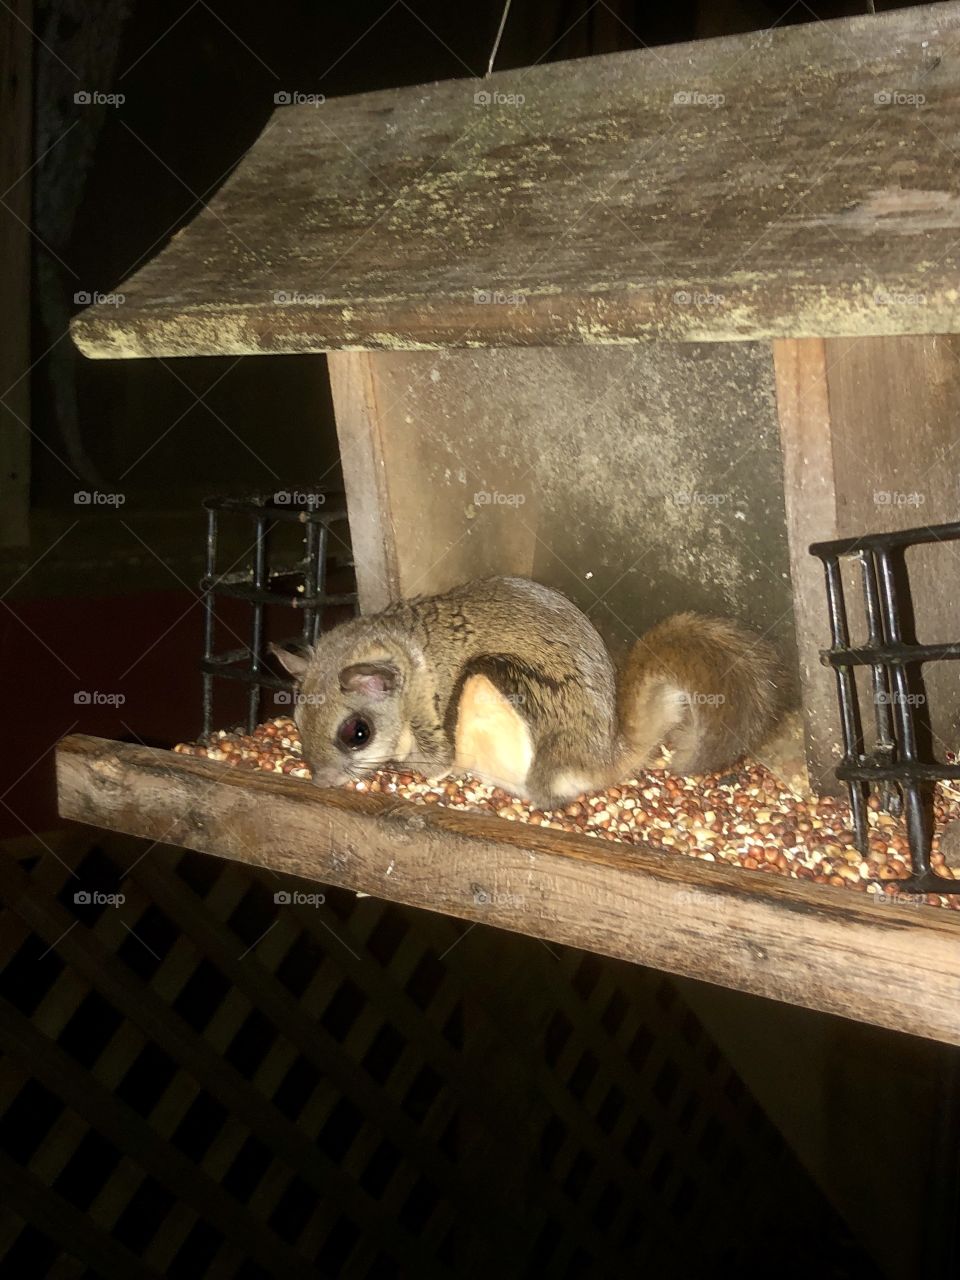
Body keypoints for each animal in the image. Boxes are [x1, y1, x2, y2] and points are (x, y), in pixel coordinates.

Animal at [271, 576, 782, 808]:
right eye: (296, 721)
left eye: (356, 732)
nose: (321, 781)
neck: (408, 659)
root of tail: (594, 757)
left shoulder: (431, 724)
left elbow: (433, 763)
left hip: (492, 687)